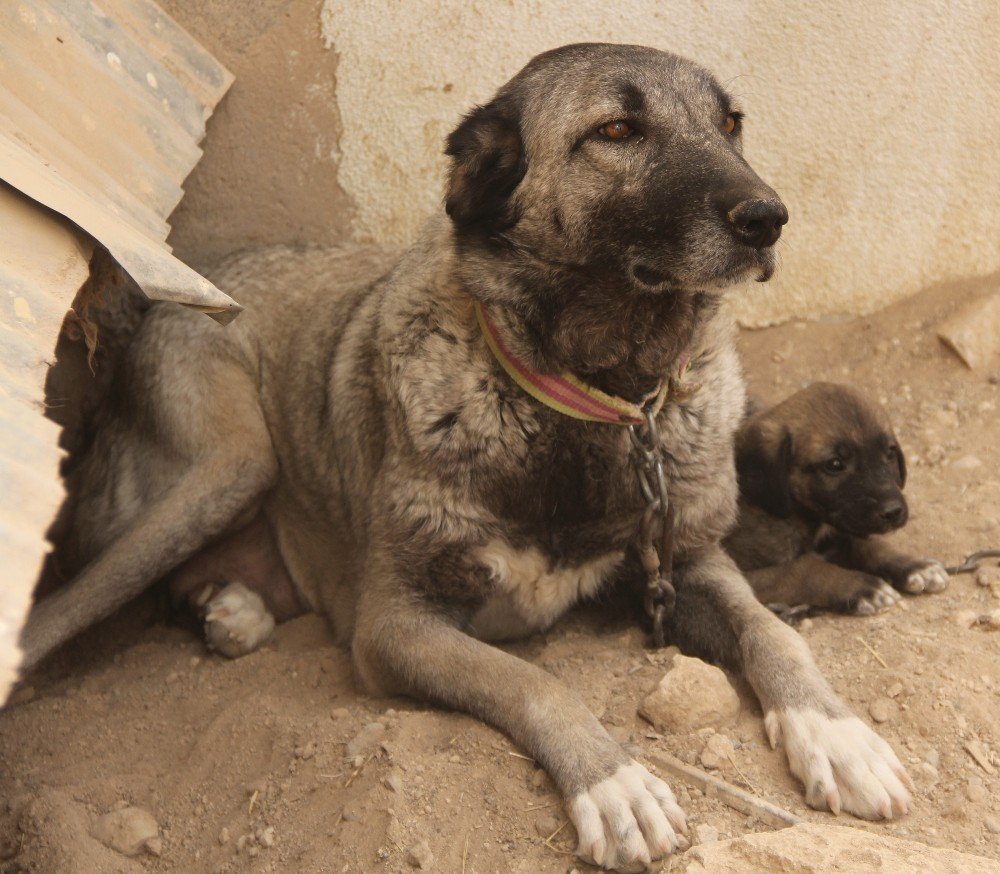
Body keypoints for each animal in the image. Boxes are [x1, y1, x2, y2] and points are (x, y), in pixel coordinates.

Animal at [21, 46, 916, 864]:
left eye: (731, 124)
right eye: (616, 130)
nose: (769, 217)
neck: (593, 400)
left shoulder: (686, 561)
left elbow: (771, 633)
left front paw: (836, 734)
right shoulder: (395, 628)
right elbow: (534, 680)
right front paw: (613, 783)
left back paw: (232, 608)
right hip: (236, 462)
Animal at [728, 382, 944, 612]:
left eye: (890, 453)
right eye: (834, 464)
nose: (894, 512)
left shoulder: (842, 528)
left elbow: (868, 544)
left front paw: (912, 564)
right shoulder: (744, 572)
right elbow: (804, 569)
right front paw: (861, 587)